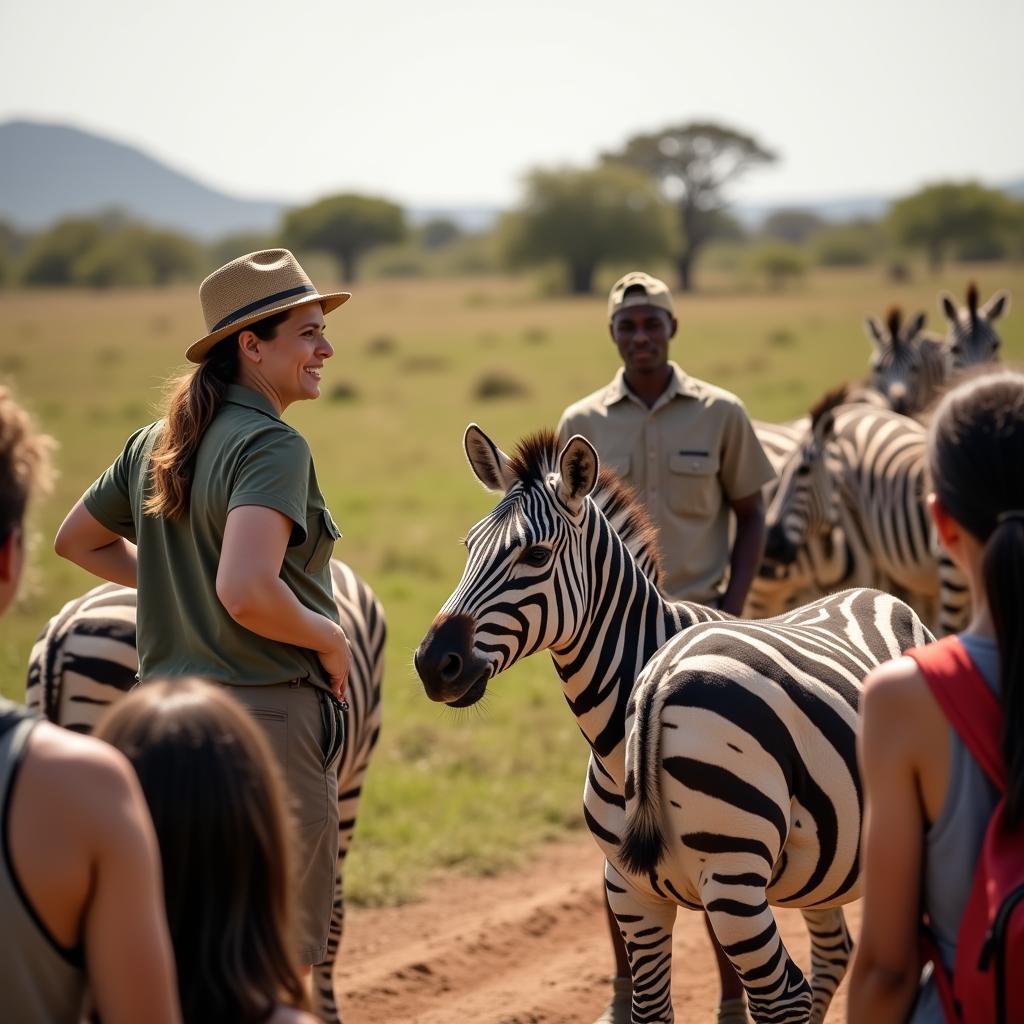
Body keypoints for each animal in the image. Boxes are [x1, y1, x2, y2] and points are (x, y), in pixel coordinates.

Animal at [411, 423, 933, 1024]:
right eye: (470, 547)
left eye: (536, 555)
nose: (433, 663)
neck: (623, 727)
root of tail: (876, 594)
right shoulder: (631, 891)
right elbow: (652, 1010)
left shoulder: (722, 884)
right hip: (817, 865)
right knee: (831, 954)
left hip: (748, 881)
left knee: (791, 993)